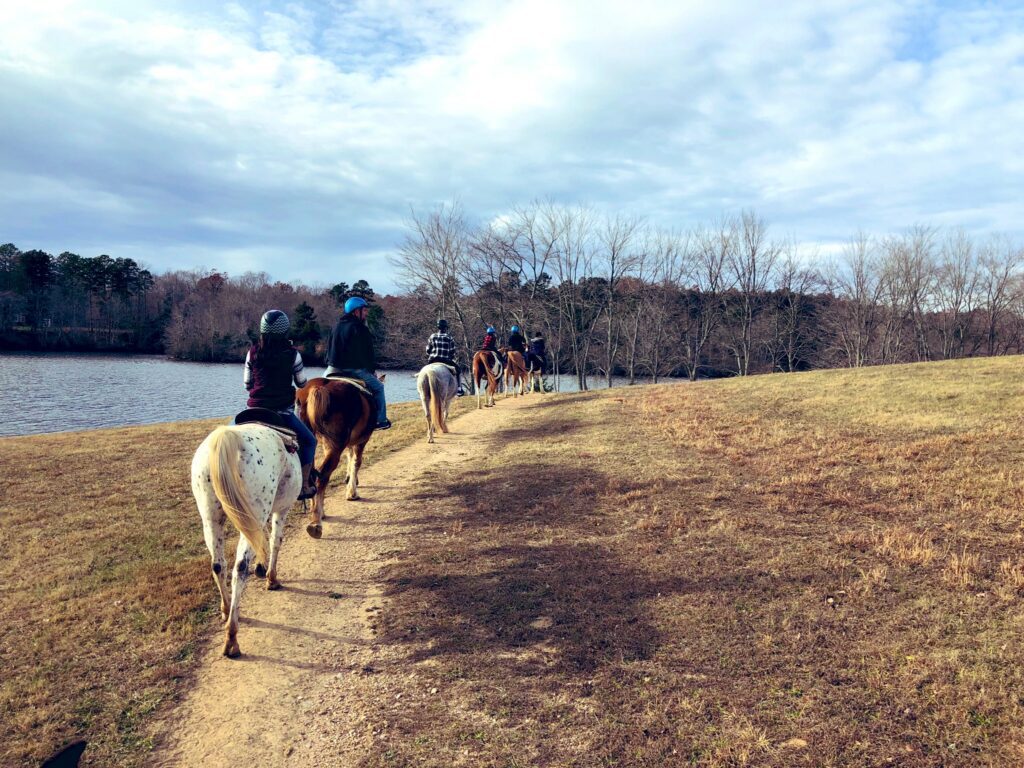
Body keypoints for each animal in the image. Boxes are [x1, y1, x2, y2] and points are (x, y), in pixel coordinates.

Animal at [192, 411, 301, 659]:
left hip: (211, 520)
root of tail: (226, 438)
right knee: (240, 567)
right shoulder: (281, 510)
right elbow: (275, 541)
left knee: (218, 565)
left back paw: (226, 610)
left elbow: (263, 540)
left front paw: (261, 568)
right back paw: (232, 638)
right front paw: (271, 577)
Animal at [296, 376, 385, 536]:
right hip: (334, 446)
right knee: (322, 475)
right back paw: (316, 521)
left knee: (312, 475)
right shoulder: (361, 441)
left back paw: (317, 512)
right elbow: (356, 462)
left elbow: (350, 459)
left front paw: (349, 480)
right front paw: (352, 492)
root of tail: (318, 388)